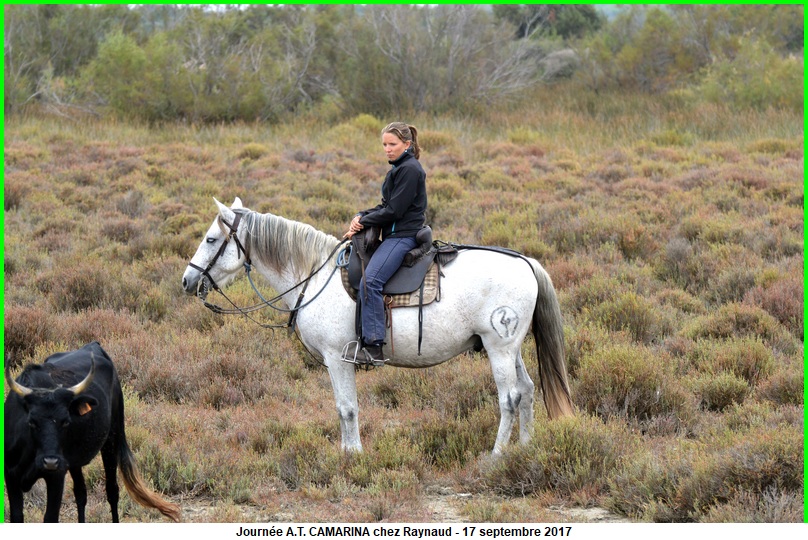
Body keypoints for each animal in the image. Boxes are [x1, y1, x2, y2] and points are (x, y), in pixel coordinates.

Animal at [4, 341, 181, 523]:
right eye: (32, 421)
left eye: (66, 421)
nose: (51, 462)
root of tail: (93, 345)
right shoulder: (11, 476)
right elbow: (16, 516)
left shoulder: (56, 477)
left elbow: (50, 516)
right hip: (75, 460)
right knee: (81, 493)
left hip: (111, 439)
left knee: (112, 491)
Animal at [182, 198, 574, 453]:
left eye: (211, 239)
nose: (187, 281)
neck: (314, 274)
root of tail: (526, 263)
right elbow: (342, 409)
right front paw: (346, 452)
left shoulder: (337, 358)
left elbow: (347, 408)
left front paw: (353, 456)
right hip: (511, 347)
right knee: (527, 390)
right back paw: (524, 449)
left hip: (499, 348)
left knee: (509, 398)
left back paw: (496, 456)